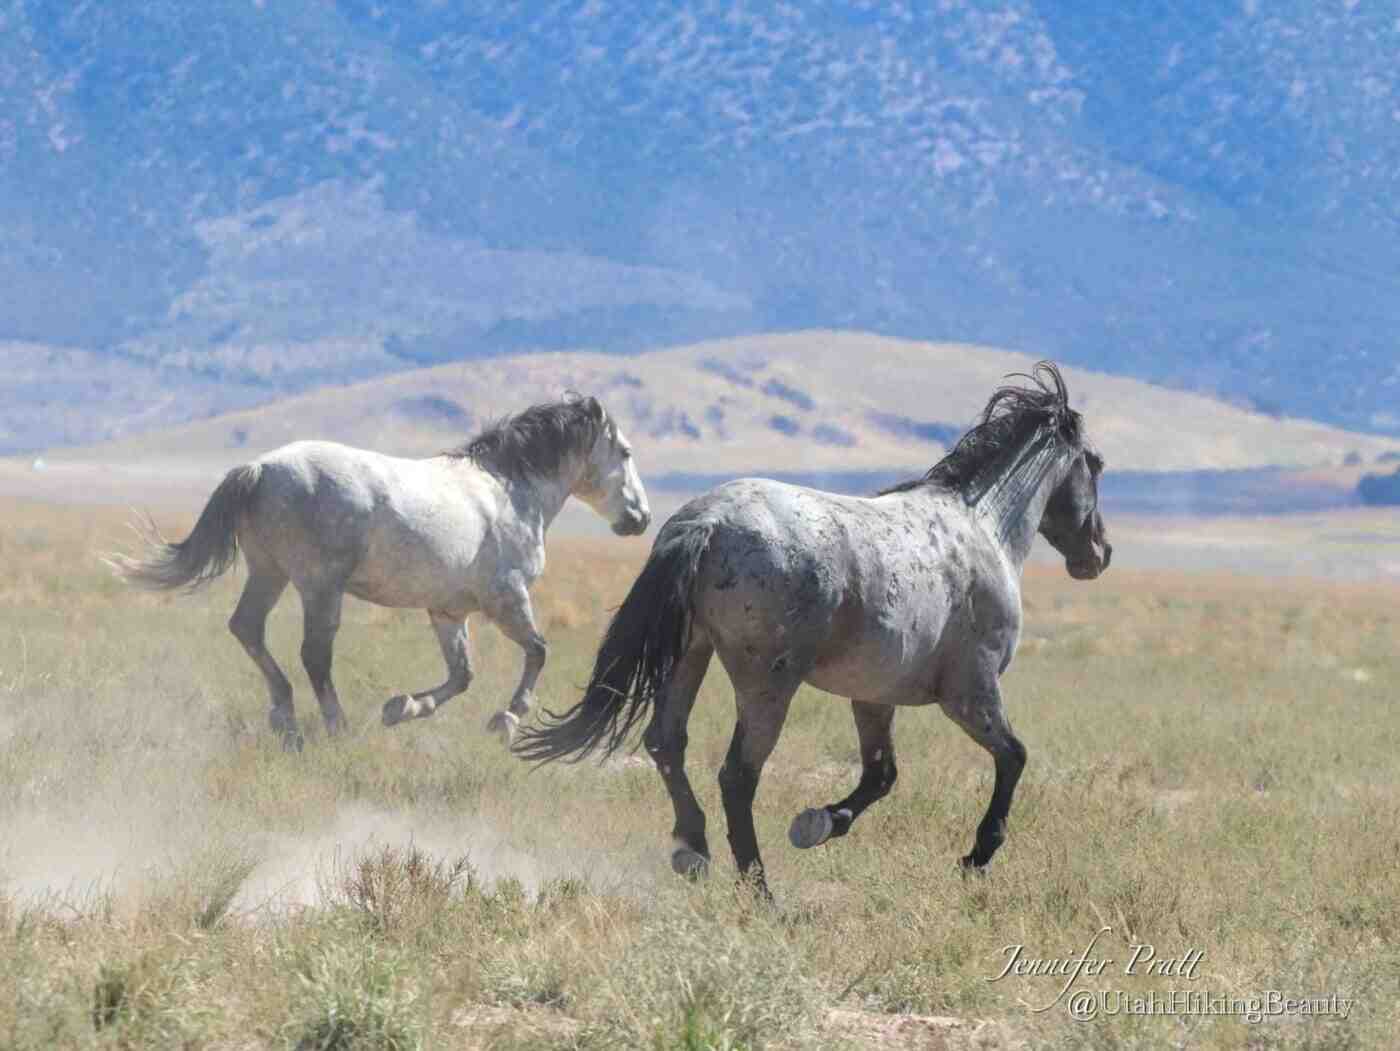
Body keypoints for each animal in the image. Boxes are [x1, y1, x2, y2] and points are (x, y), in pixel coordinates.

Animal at [113, 394, 649, 750]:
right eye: (625, 452)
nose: (640, 518)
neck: (509, 490)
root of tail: (259, 469)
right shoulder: (507, 597)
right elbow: (538, 651)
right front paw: (506, 720)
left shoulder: (448, 612)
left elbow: (462, 675)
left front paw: (400, 708)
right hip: (320, 585)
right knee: (314, 654)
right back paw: (337, 727)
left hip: (269, 573)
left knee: (247, 628)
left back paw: (285, 715)